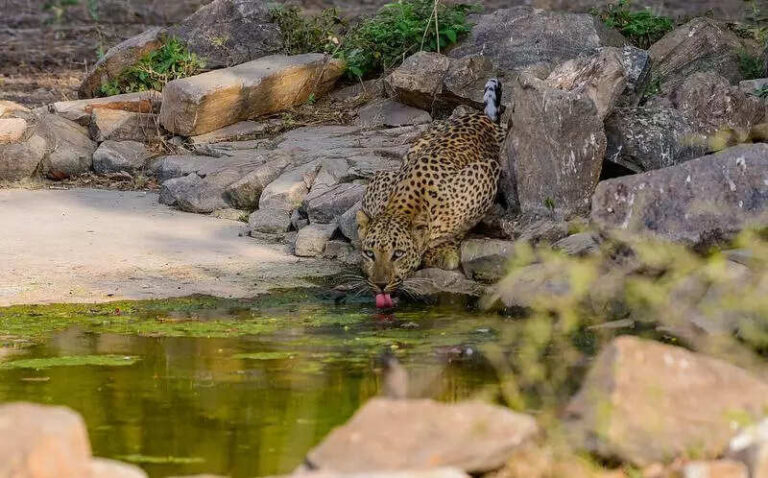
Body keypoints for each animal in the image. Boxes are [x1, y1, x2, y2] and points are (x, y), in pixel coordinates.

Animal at [356, 79, 507, 308]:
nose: (381, 285)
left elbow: (461, 227)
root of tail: (482, 117)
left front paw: (443, 250)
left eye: (397, 254)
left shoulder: (486, 171)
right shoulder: (380, 181)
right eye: (369, 254)